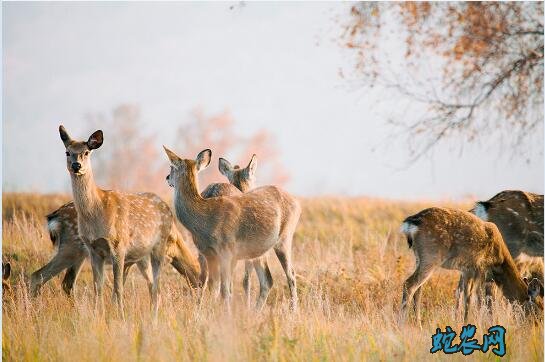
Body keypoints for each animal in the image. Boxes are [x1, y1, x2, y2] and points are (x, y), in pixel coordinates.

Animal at [30, 201, 200, 296]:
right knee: (37, 276)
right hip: (71, 247)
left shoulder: (131, 259)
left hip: (80, 253)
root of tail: (55, 216)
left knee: (67, 283)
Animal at [58, 126, 172, 318]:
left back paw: (154, 317)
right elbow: (98, 287)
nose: (76, 166)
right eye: (67, 152)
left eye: (86, 152)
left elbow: (118, 287)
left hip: (160, 244)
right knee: (151, 284)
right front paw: (98, 314)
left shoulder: (119, 244)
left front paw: (121, 316)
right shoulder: (92, 249)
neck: (95, 214)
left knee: (157, 285)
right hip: (141, 255)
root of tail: (168, 208)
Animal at [400, 206, 536, 326]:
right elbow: (477, 298)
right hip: (431, 256)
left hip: (419, 258)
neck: (499, 260)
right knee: (409, 284)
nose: (533, 323)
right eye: (534, 305)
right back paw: (401, 323)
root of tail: (410, 225)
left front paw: (463, 320)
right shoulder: (479, 267)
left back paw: (418, 324)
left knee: (418, 289)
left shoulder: (466, 271)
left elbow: (466, 295)